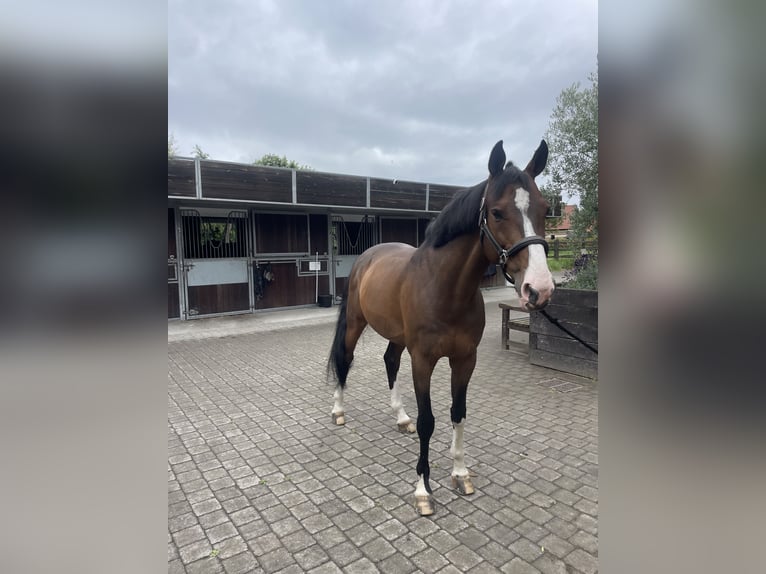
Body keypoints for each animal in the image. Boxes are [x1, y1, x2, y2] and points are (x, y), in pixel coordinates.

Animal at [328, 141, 556, 516]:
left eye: (545, 209)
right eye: (496, 212)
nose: (539, 289)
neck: (445, 288)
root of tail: (368, 256)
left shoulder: (464, 360)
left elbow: (457, 414)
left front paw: (460, 473)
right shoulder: (423, 360)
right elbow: (428, 421)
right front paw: (423, 489)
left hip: (397, 336)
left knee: (390, 361)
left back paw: (400, 417)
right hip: (357, 325)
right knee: (345, 360)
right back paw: (338, 411)